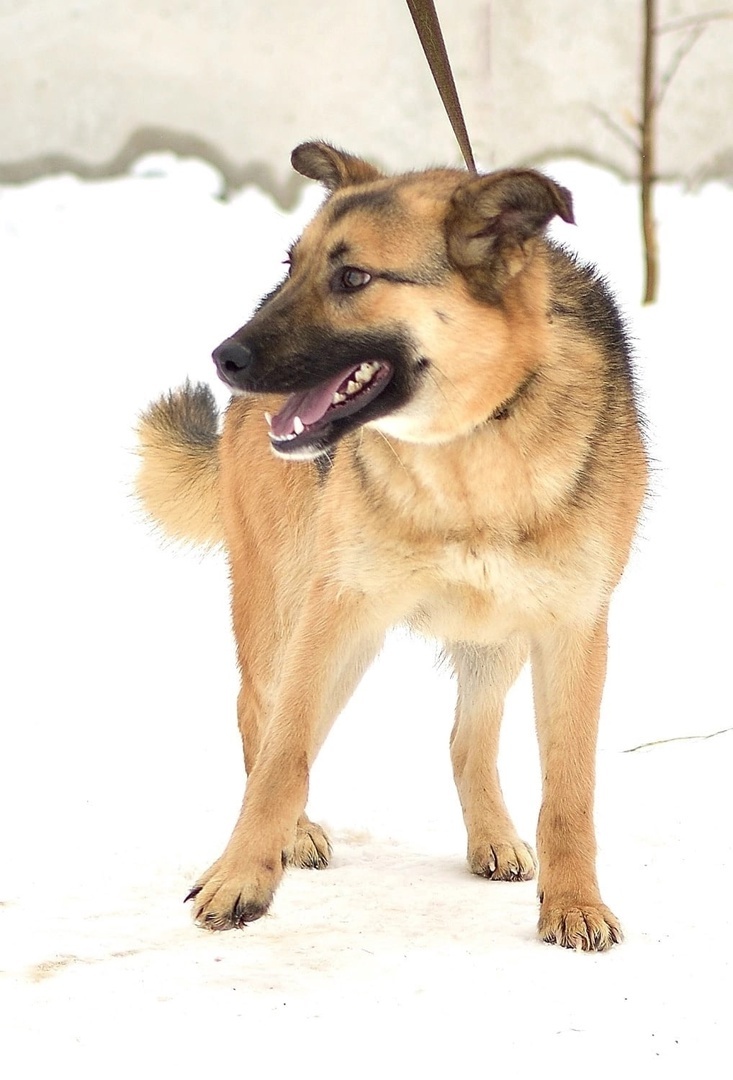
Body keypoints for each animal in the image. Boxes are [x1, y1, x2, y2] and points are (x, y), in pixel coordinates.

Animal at [136, 141, 647, 946]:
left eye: (353, 279)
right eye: (292, 264)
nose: (225, 358)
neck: (469, 448)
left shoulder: (571, 628)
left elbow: (570, 789)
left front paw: (575, 904)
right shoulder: (339, 609)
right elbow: (283, 758)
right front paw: (240, 877)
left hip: (493, 635)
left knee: (467, 738)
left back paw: (492, 836)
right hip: (289, 607)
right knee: (260, 713)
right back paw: (296, 832)